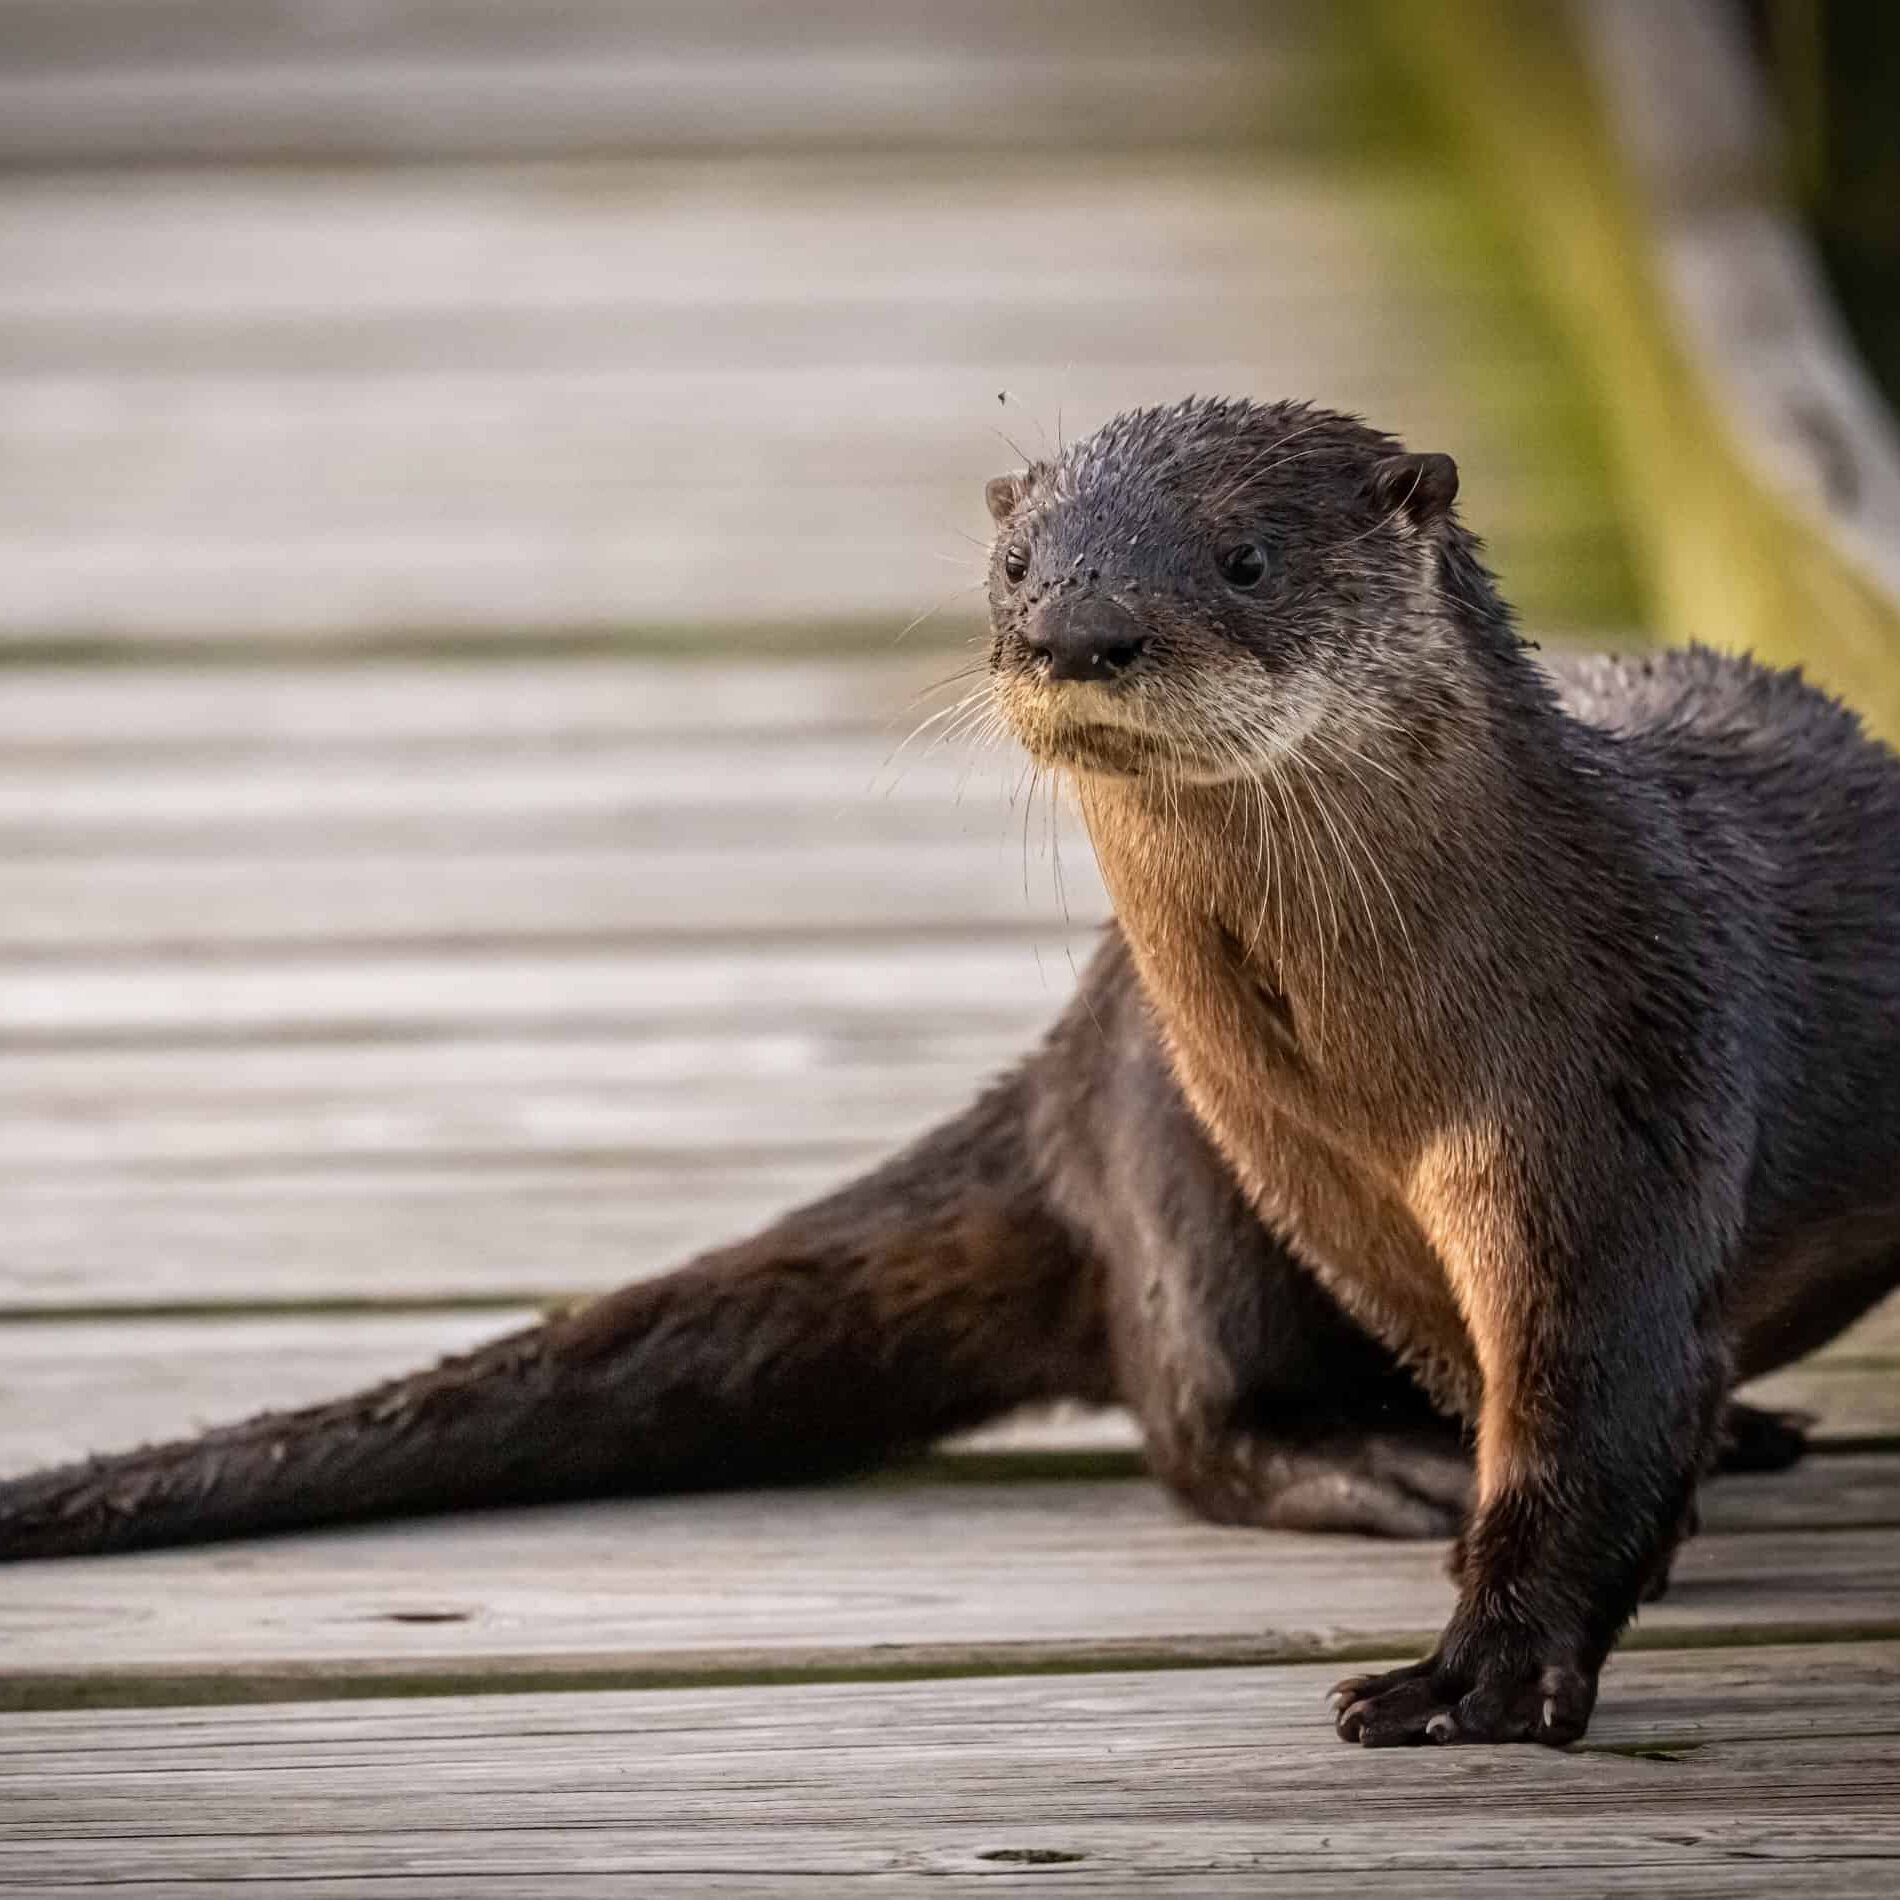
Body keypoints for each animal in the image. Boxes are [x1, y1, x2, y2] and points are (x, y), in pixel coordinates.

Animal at [3, 399, 1895, 1752]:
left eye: (1246, 556)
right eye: (1020, 565)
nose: (1079, 633)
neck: (1382, 1070)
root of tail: (1055, 1064)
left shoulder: (1622, 1095)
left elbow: (1595, 1395)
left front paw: (1480, 1676)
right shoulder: (1301, 1158)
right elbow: (1502, 1392)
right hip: (1164, 1142)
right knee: (1199, 1405)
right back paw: (1386, 1465)